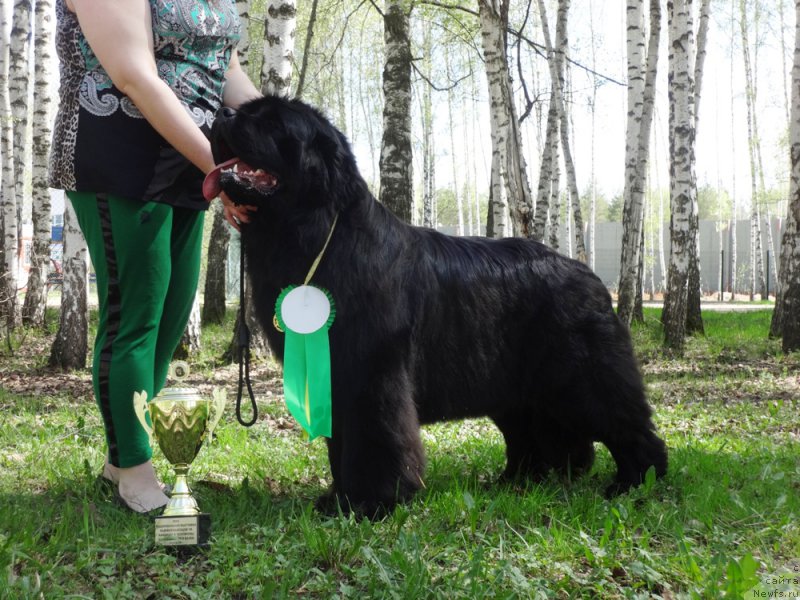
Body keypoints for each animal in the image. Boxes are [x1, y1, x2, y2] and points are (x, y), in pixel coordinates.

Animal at [203, 97, 664, 516]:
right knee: (538, 436)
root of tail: (590, 276)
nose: (220, 113)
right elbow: (341, 446)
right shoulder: (332, 376)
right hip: (517, 389)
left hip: (584, 377)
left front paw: (372, 502)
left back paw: (636, 484)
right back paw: (521, 481)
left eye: (270, 121)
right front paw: (338, 499)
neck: (316, 237)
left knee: (628, 425)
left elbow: (376, 439)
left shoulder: (373, 375)